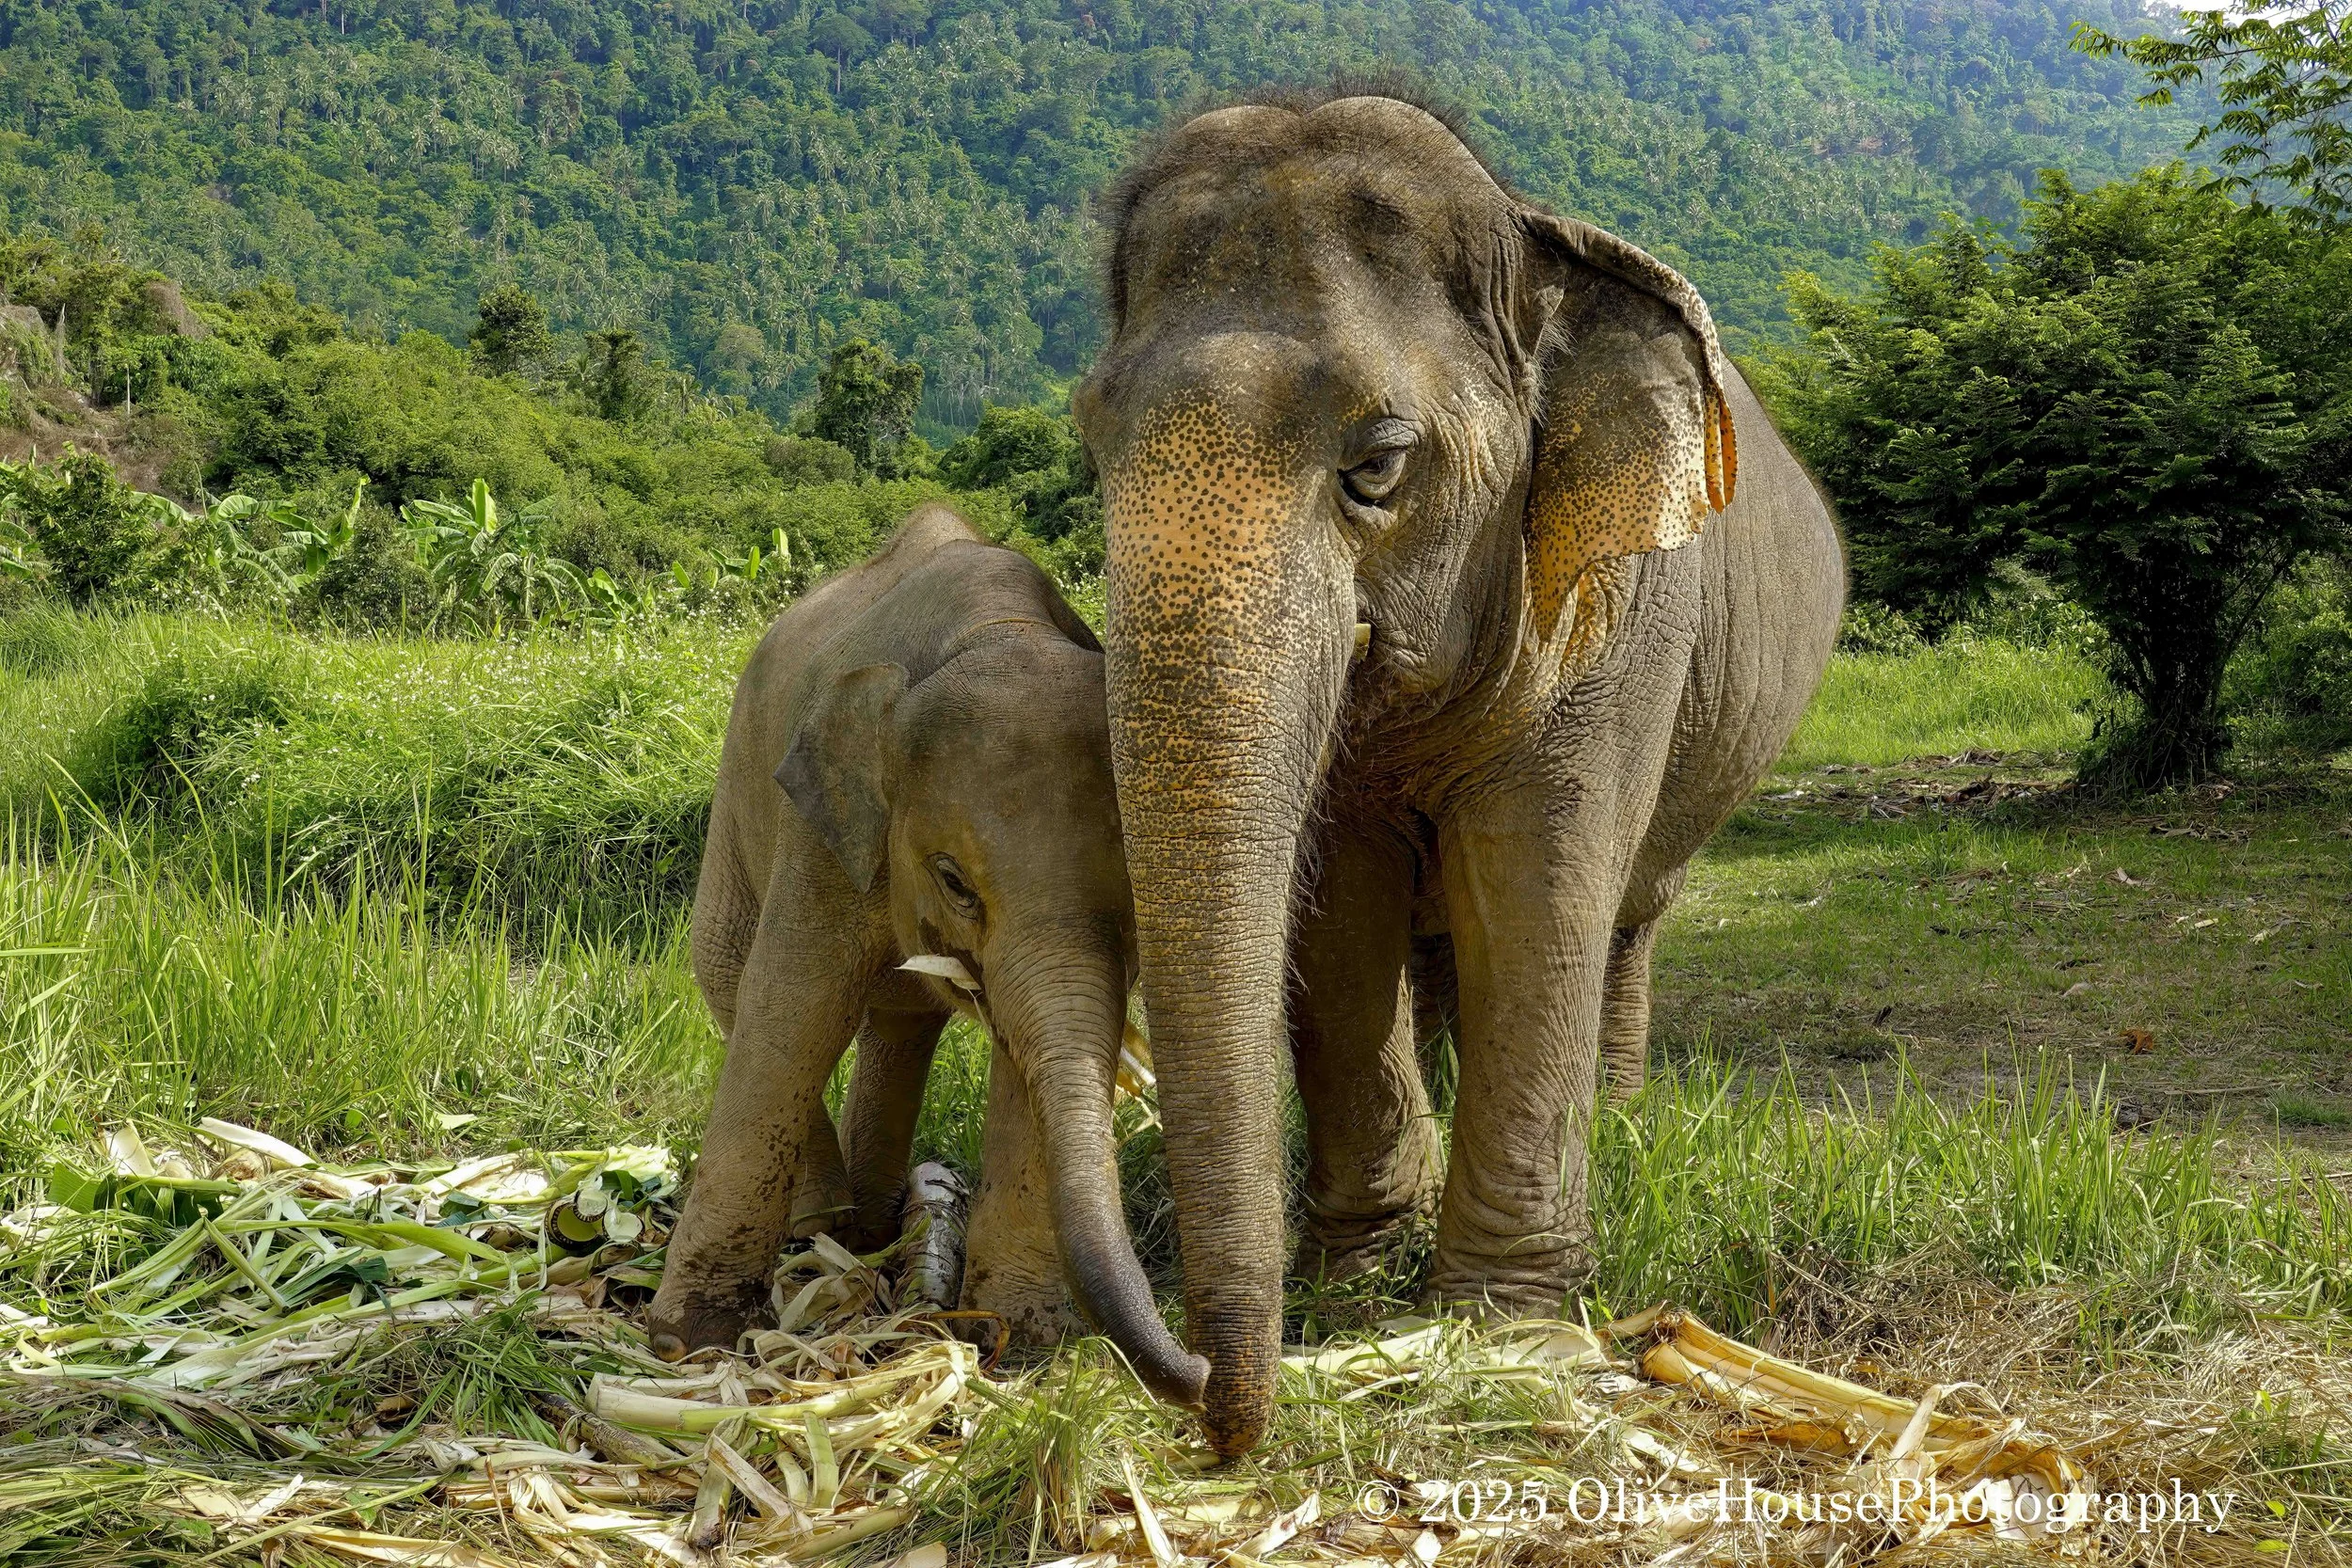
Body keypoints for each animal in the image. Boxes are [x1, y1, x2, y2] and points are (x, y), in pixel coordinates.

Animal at [644, 502, 1209, 1410]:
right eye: (954, 881)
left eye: (1131, 891)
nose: (1200, 1369)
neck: (991, 630)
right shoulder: (823, 833)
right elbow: (794, 1008)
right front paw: (688, 1341)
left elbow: (1029, 1060)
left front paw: (1016, 1335)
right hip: (739, 791)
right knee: (738, 982)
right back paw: (822, 1230)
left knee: (899, 1024)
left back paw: (870, 1229)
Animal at [1071, 90, 1845, 1454]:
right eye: (1091, 445)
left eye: (1378, 462)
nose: (1218, 1414)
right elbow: (1341, 912)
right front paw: (1360, 1284)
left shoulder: (1624, 606)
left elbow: (1538, 886)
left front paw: (1500, 1325)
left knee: (1624, 919)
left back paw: (1622, 1112)